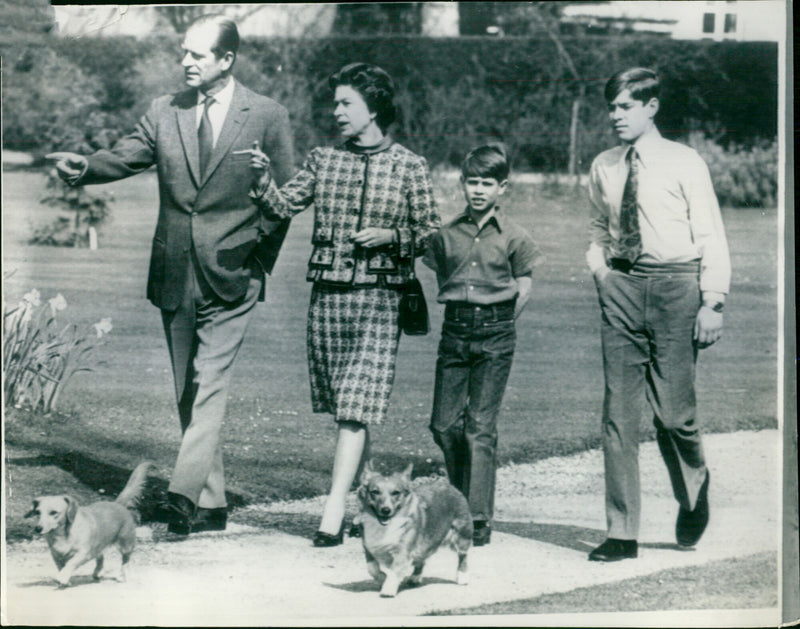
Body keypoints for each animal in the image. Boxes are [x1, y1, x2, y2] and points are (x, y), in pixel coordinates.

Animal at [26, 458, 154, 588]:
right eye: (38, 512)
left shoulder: (83, 553)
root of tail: (118, 504)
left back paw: (122, 576)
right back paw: (98, 573)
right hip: (99, 546)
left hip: (125, 545)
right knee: (100, 558)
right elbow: (61, 566)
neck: (63, 534)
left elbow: (71, 563)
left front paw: (62, 577)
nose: (38, 528)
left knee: (125, 560)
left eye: (53, 512)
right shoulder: (56, 555)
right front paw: (65, 580)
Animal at [354, 458, 472, 596]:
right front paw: (383, 578)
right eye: (375, 492)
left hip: (461, 535)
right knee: (421, 558)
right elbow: (372, 569)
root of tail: (450, 486)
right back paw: (415, 577)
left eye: (396, 493)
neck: (384, 526)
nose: (386, 510)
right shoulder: (369, 548)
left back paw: (462, 577)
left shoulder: (402, 551)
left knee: (463, 556)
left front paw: (388, 589)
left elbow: (394, 571)